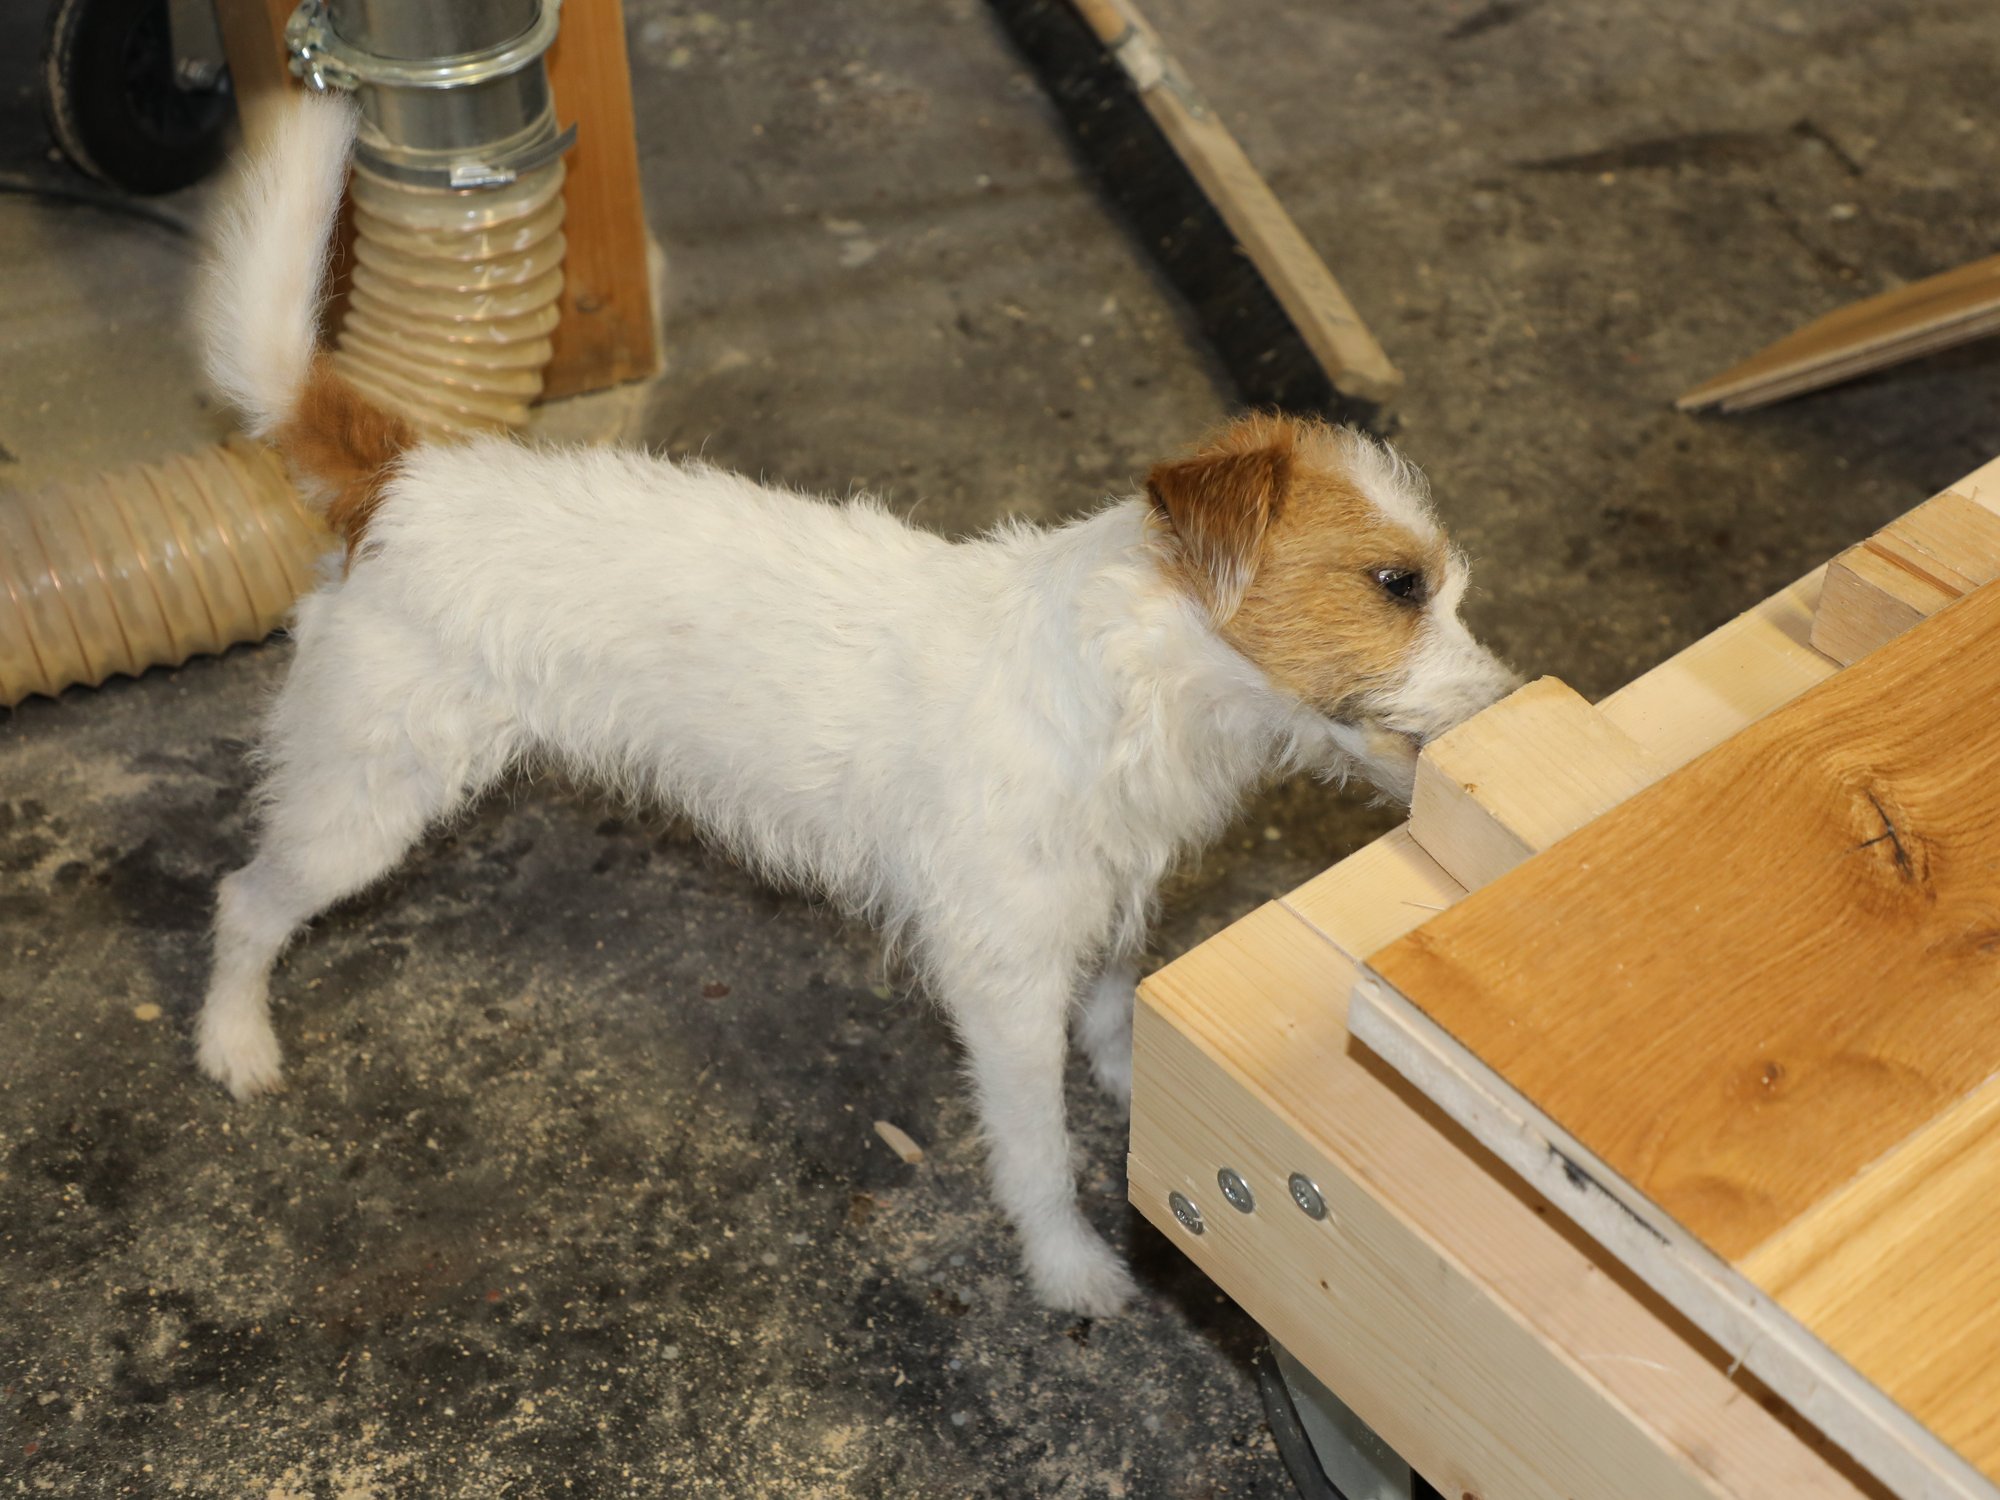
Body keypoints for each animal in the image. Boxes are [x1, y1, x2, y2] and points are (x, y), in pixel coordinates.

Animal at [199, 97, 1512, 1312]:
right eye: (1395, 586)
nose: (1508, 704)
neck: (1123, 690)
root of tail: (403, 477)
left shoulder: (1101, 912)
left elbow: (1115, 1014)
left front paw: (1156, 1092)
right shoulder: (1002, 982)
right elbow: (1037, 1148)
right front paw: (1068, 1266)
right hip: (363, 805)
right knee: (244, 900)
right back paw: (233, 1042)